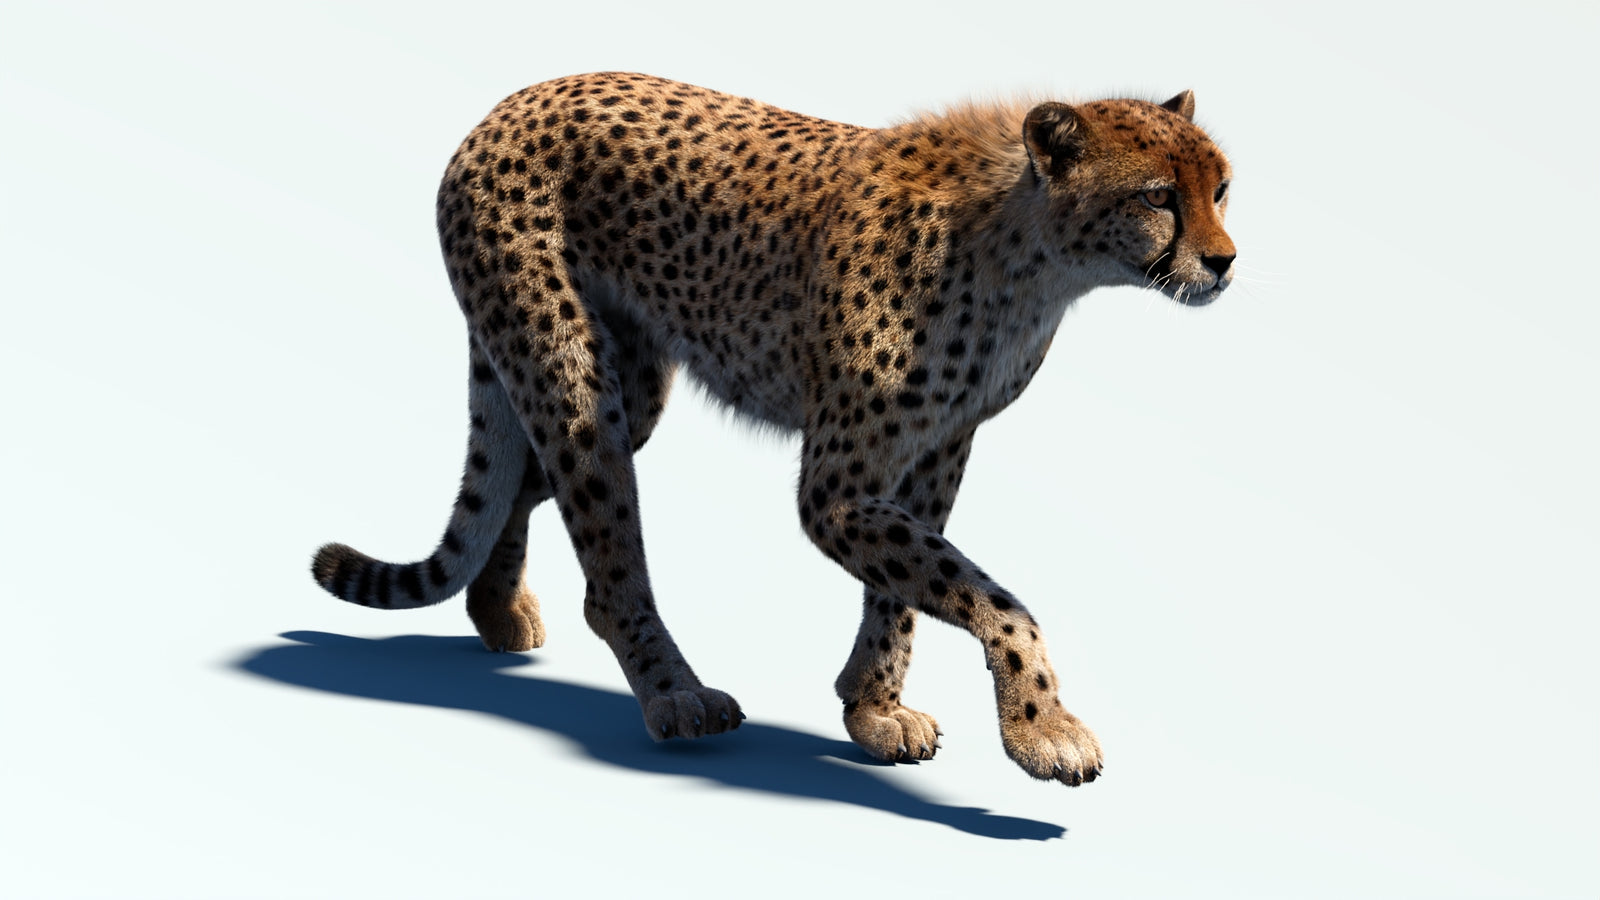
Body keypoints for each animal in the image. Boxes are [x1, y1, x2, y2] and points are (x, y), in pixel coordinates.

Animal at [310, 72, 1235, 786]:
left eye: (1220, 188)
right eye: (1158, 196)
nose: (1225, 260)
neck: (1031, 255)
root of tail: (513, 100)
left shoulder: (939, 446)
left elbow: (909, 588)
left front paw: (874, 707)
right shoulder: (836, 487)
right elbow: (990, 598)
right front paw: (1042, 728)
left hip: (626, 386)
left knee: (519, 479)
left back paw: (497, 608)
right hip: (572, 376)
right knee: (605, 557)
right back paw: (675, 694)